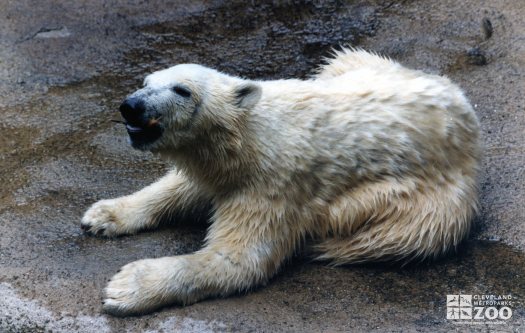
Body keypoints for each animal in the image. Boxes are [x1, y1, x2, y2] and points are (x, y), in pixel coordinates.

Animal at [81, 48, 478, 316]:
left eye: (182, 90)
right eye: (146, 82)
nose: (131, 107)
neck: (251, 135)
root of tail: (466, 113)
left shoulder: (273, 184)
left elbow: (239, 259)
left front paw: (126, 287)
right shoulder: (220, 167)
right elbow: (180, 186)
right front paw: (103, 215)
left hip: (430, 202)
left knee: (397, 235)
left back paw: (325, 245)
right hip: (367, 66)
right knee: (342, 58)